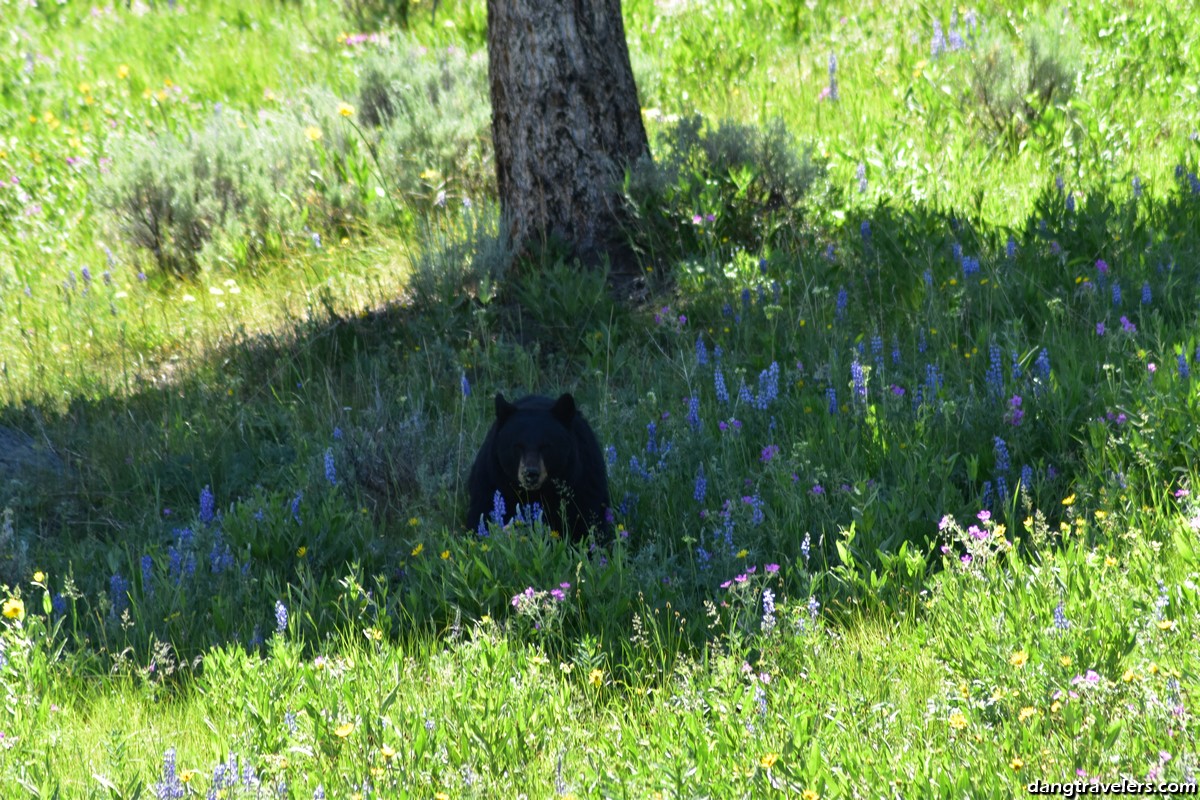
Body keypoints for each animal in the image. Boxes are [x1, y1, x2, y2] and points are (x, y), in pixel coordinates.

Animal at [465, 391, 609, 542]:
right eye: (518, 445)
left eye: (546, 446)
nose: (530, 473)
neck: (538, 493)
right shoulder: (492, 481)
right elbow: (481, 514)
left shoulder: (583, 485)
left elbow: (587, 521)